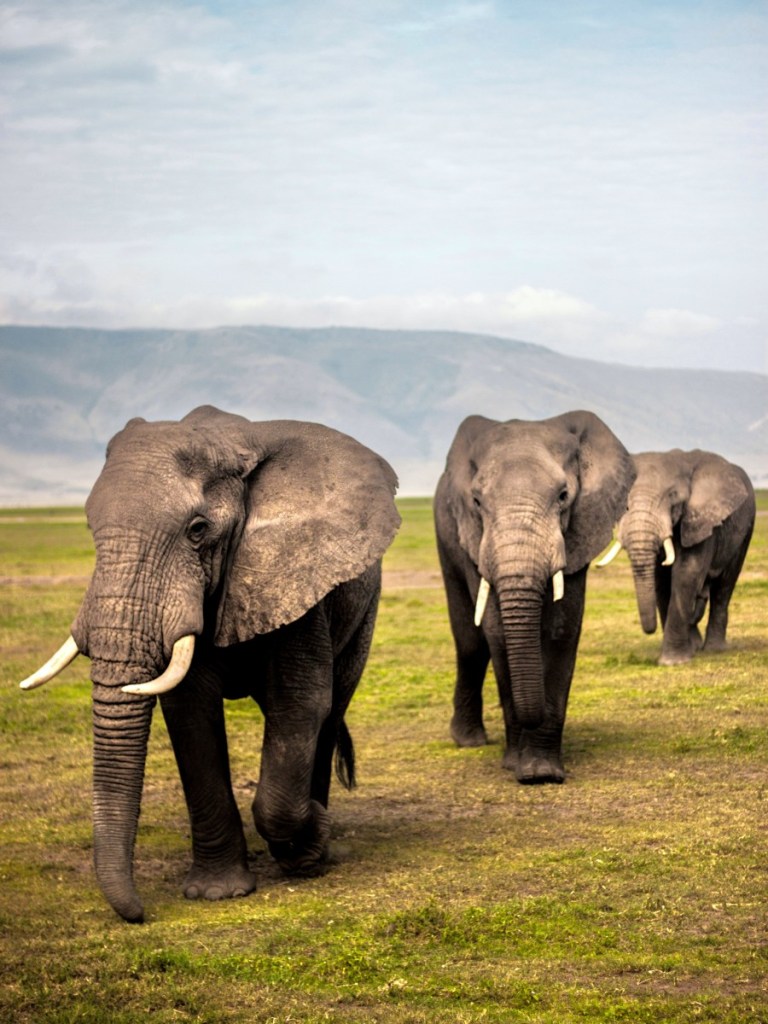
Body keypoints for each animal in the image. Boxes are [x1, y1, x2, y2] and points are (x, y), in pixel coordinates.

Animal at [20, 405, 400, 922]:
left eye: (197, 530)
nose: (139, 913)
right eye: (89, 528)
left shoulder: (295, 580)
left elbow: (300, 705)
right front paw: (217, 893)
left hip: (365, 612)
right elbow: (190, 713)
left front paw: (311, 846)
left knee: (331, 708)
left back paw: (315, 844)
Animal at [434, 410, 635, 783]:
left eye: (563, 496)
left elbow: (561, 629)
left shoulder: (578, 531)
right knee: (470, 643)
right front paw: (517, 766)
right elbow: (497, 632)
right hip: (445, 536)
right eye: (477, 502)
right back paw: (469, 741)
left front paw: (542, 772)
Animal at [597, 449, 755, 665]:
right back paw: (696, 645)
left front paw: (673, 662)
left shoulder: (700, 519)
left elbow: (687, 573)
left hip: (746, 528)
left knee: (725, 585)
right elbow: (661, 581)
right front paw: (686, 652)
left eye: (672, 496)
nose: (650, 629)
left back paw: (714, 648)